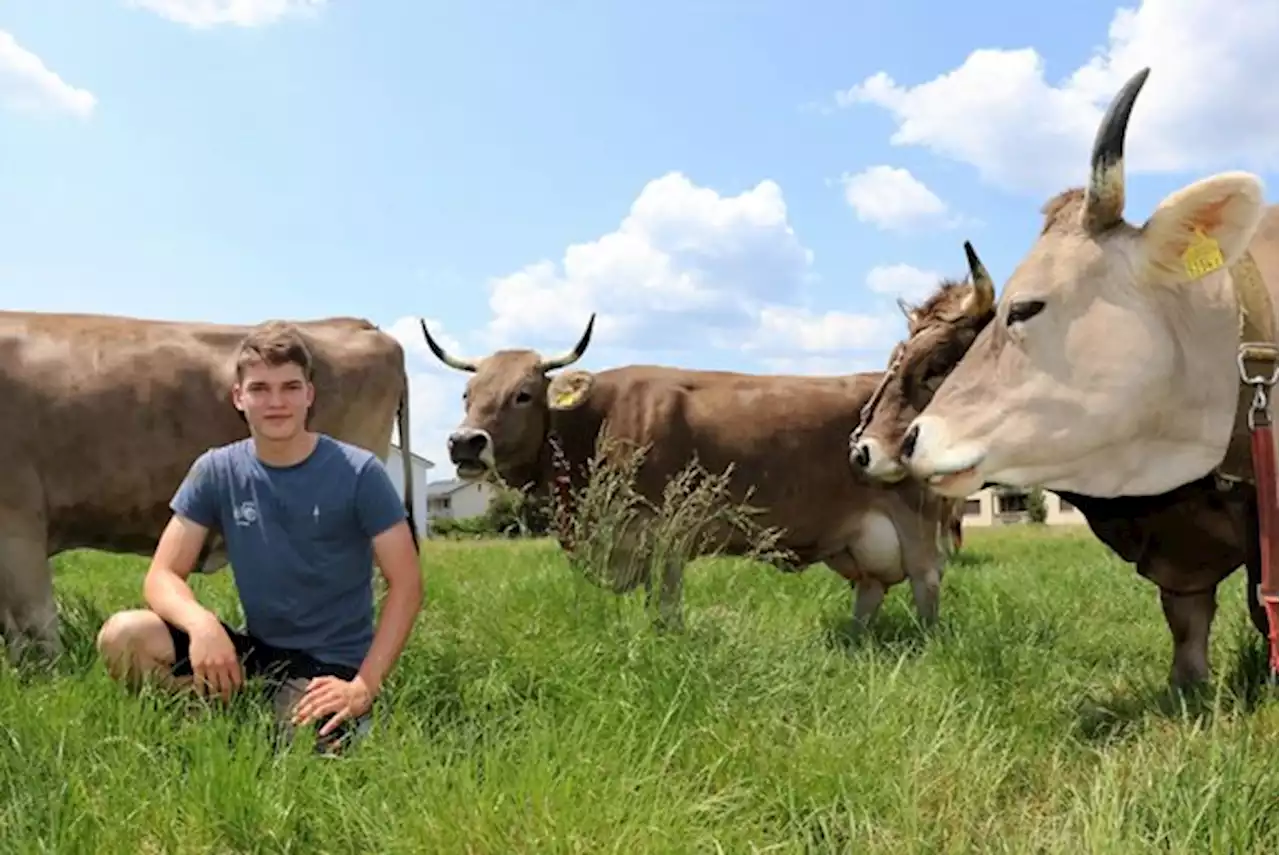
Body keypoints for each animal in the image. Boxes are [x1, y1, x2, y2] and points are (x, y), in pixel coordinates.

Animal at [419, 317, 962, 632]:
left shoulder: (665, 536)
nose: (464, 442)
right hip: (855, 542)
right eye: (467, 394)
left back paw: (926, 642)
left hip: (916, 521)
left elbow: (665, 605)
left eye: (524, 394)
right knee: (871, 590)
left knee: (926, 584)